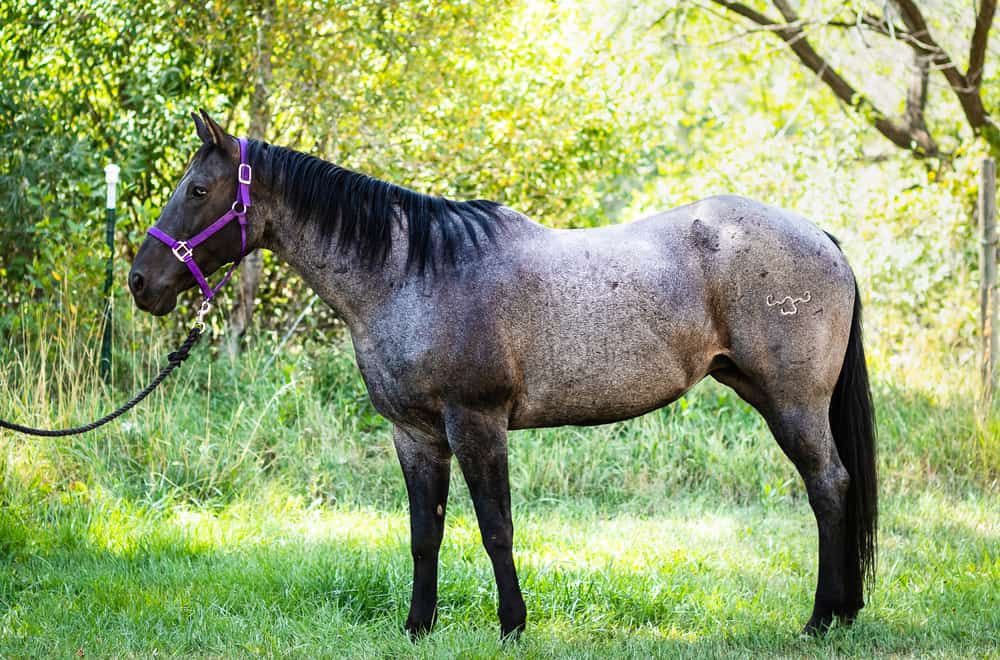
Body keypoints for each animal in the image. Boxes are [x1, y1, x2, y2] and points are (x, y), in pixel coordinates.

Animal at [129, 110, 877, 638]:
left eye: (199, 189)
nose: (141, 282)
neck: (412, 273)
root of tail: (822, 238)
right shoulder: (414, 435)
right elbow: (424, 533)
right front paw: (418, 627)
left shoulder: (477, 423)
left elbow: (496, 527)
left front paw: (513, 625)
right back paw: (839, 614)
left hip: (792, 404)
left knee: (829, 487)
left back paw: (822, 619)